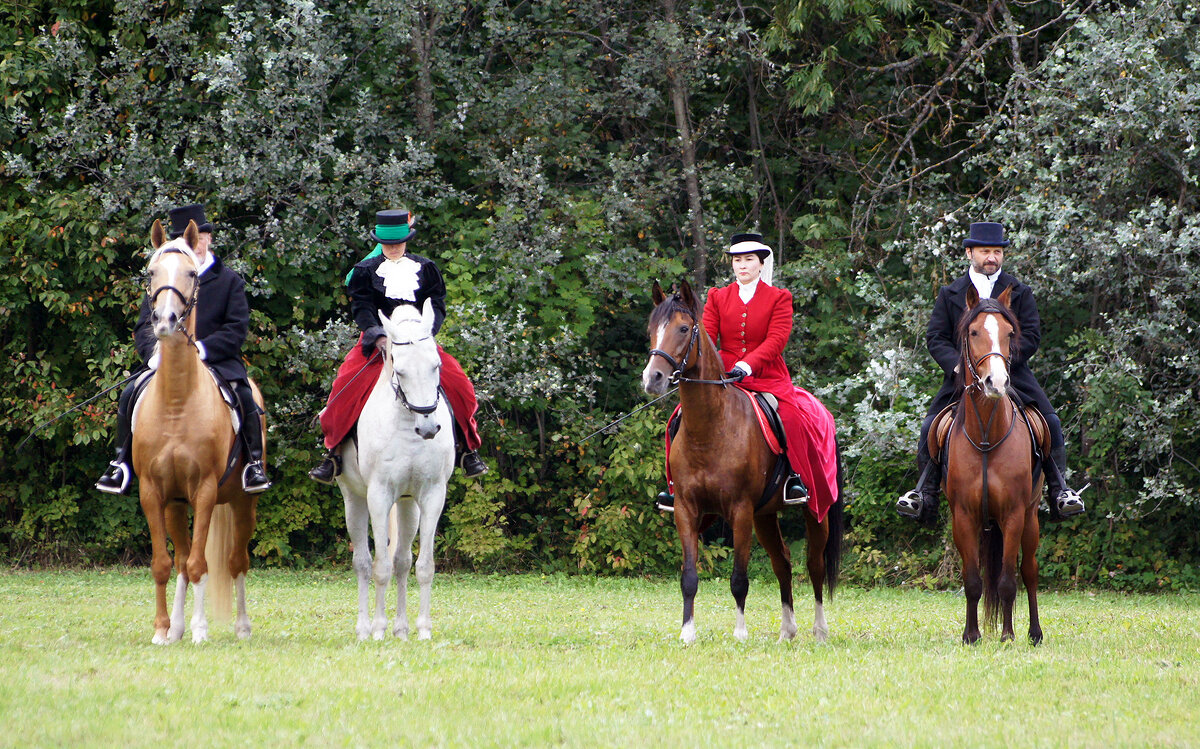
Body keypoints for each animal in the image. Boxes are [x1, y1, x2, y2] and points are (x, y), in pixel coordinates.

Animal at [134, 219, 265, 648]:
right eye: (151, 272)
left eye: (191, 273)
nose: (165, 321)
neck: (177, 400)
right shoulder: (153, 492)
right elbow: (164, 564)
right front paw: (163, 629)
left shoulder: (205, 490)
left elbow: (199, 564)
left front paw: (201, 629)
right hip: (176, 505)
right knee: (178, 561)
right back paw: (175, 625)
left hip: (242, 502)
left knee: (236, 561)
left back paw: (241, 626)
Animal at [333, 298, 453, 638]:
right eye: (399, 370)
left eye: (436, 366)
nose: (428, 427)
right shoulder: (379, 496)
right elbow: (380, 567)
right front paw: (377, 629)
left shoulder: (432, 495)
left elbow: (423, 566)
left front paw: (423, 630)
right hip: (355, 500)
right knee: (362, 562)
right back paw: (364, 629)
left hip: (408, 505)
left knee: (402, 561)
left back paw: (401, 628)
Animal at [638, 280, 844, 643]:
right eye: (652, 330)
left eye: (683, 328)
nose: (654, 379)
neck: (711, 427)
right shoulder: (686, 510)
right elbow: (689, 577)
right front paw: (687, 633)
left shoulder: (740, 510)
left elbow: (739, 578)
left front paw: (740, 633)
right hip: (765, 516)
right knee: (783, 562)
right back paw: (787, 631)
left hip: (814, 509)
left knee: (814, 565)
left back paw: (820, 630)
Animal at [945, 286, 1041, 643]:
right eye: (973, 332)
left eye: (1010, 333)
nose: (996, 383)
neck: (987, 434)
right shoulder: (963, 516)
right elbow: (973, 581)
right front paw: (971, 635)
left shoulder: (1013, 514)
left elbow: (1008, 581)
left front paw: (1007, 636)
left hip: (1030, 518)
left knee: (1029, 572)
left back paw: (1034, 633)